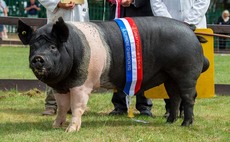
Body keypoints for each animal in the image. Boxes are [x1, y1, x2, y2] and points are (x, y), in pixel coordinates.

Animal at [17, 16, 208, 132]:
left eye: (53, 47)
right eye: (33, 46)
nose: (38, 58)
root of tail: (191, 31)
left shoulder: (82, 83)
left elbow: (77, 106)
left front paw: (70, 130)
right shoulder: (60, 87)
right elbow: (63, 107)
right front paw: (55, 125)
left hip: (186, 73)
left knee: (188, 98)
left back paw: (185, 124)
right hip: (169, 77)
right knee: (174, 97)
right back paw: (169, 122)